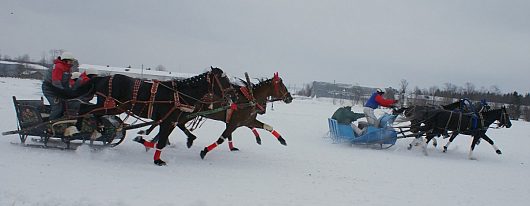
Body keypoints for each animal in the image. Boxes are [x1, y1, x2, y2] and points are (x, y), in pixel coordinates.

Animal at [75, 67, 232, 166]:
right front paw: (157, 160)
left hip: (115, 107)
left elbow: (162, 139)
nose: (231, 95)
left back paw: (100, 128)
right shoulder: (167, 121)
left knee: (93, 112)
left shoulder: (171, 121)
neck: (179, 94)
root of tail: (102, 77)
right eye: (223, 80)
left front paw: (145, 142)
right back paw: (81, 125)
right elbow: (161, 141)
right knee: (86, 108)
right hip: (110, 105)